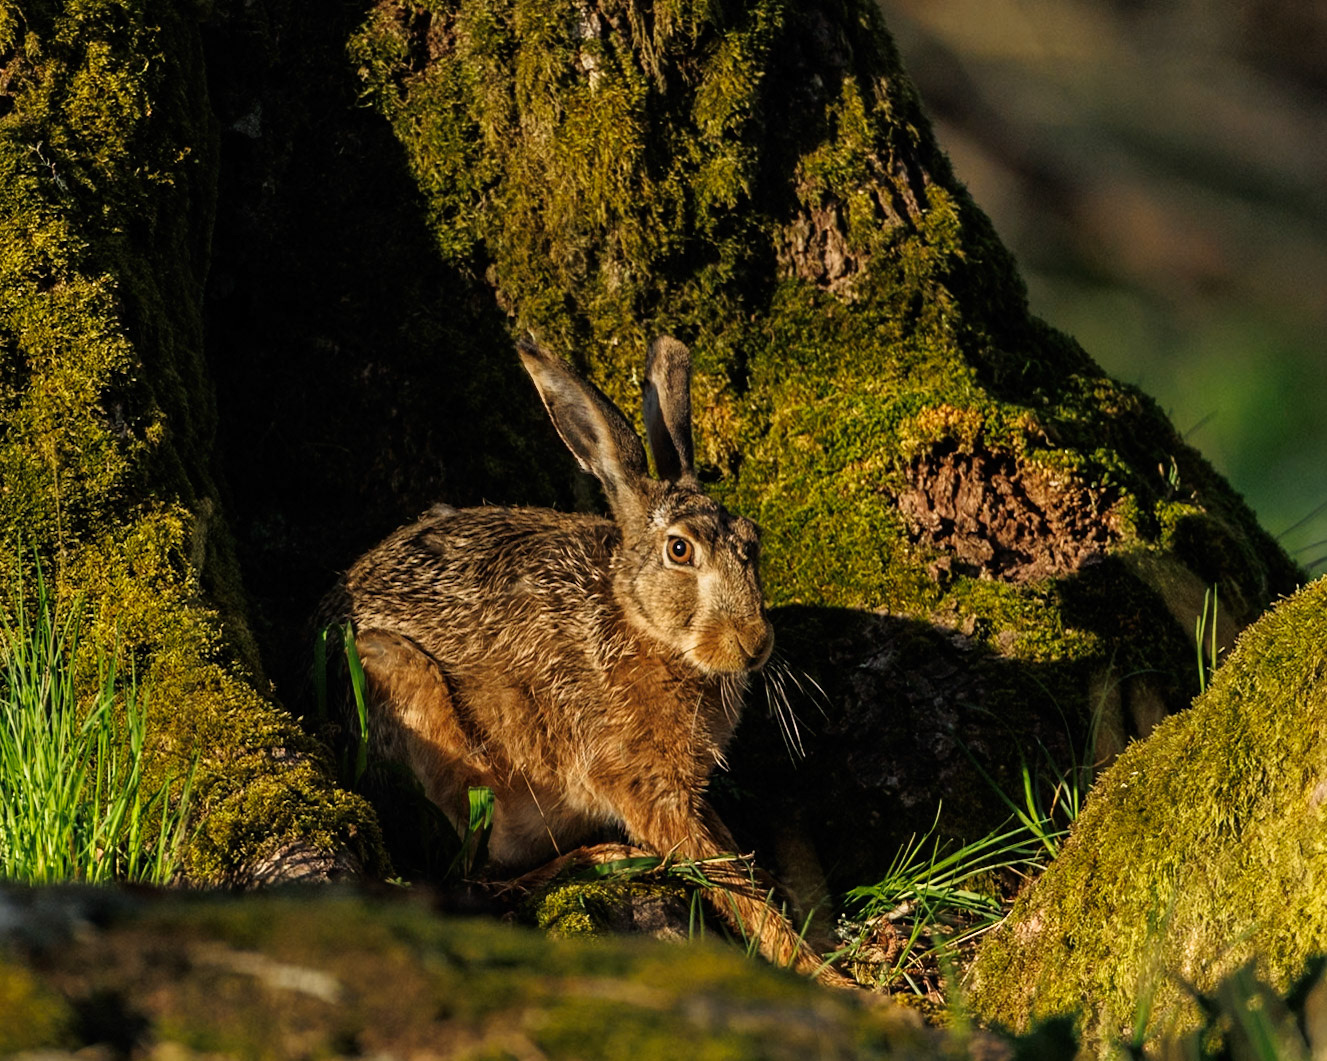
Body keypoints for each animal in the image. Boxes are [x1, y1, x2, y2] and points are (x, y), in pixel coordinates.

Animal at [330, 336, 843, 983]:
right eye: (680, 550)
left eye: (753, 540)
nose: (755, 644)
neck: (640, 624)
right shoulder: (645, 787)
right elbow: (729, 883)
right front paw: (823, 973)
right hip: (410, 698)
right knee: (473, 883)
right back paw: (603, 855)